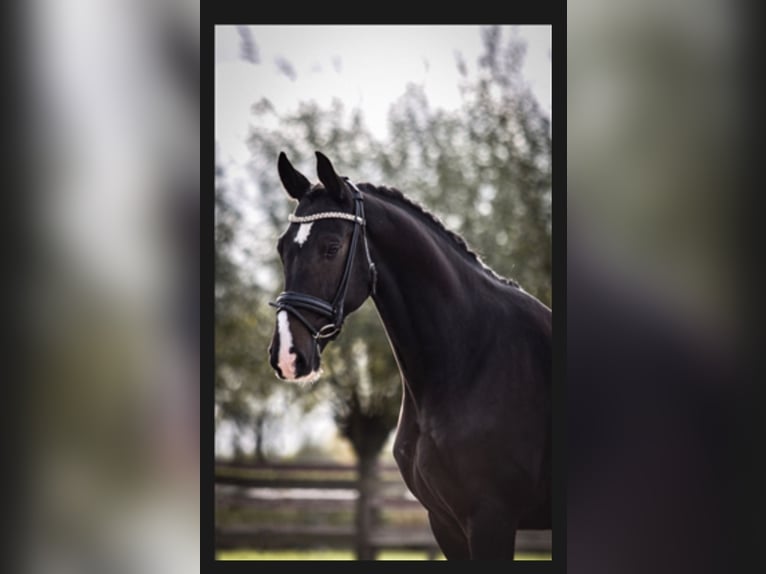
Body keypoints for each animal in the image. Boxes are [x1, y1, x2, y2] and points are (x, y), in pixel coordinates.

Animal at [268, 151, 552, 559]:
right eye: (282, 248)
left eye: (331, 247)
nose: (288, 355)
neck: (470, 360)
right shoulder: (446, 523)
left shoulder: (492, 518)